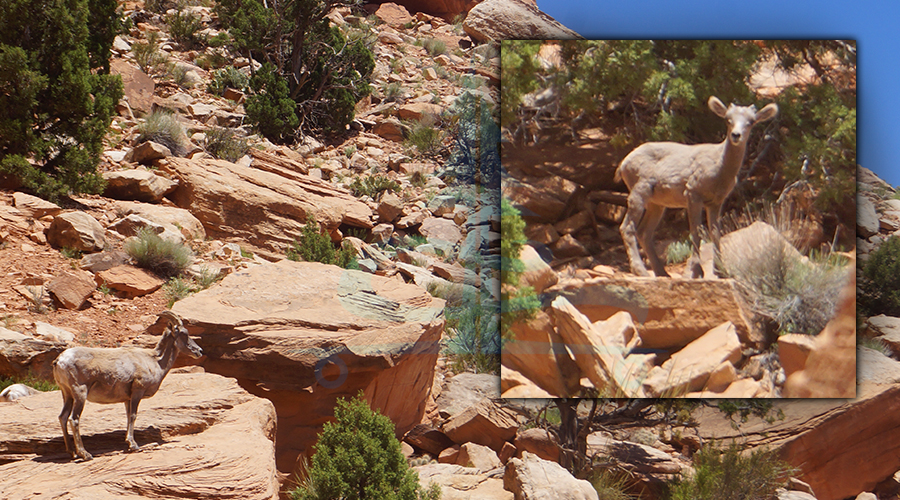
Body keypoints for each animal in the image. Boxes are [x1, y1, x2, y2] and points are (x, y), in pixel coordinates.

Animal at [51, 312, 203, 460]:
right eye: (184, 333)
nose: (199, 351)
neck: (156, 362)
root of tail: (60, 360)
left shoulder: (127, 399)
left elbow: (128, 415)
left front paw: (128, 443)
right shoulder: (137, 392)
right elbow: (133, 416)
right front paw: (134, 445)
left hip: (67, 394)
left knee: (63, 417)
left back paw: (72, 452)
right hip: (80, 393)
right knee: (74, 419)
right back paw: (85, 454)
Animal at [616, 95, 776, 280]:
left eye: (751, 122)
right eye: (728, 120)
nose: (736, 135)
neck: (719, 167)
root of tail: (624, 163)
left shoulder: (715, 203)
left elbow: (715, 233)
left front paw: (721, 272)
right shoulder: (693, 195)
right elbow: (696, 232)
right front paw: (696, 272)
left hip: (657, 204)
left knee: (644, 233)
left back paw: (663, 273)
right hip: (639, 192)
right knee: (628, 228)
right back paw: (641, 271)